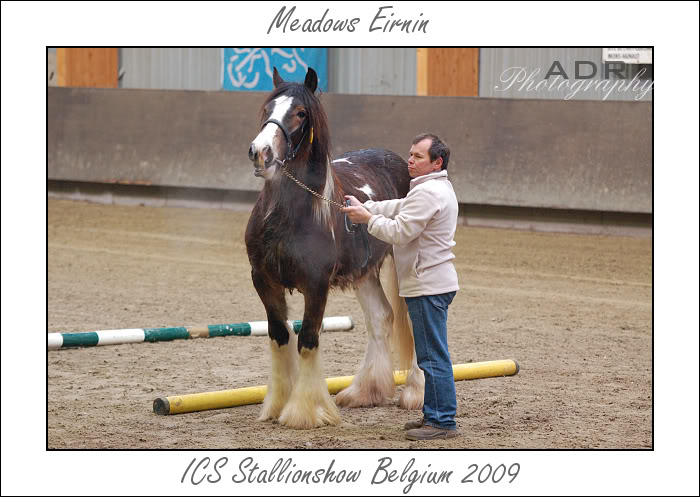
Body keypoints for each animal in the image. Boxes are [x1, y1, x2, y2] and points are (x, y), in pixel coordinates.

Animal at [243, 68, 424, 428]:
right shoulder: (263, 280)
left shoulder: (316, 285)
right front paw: (277, 404)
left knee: (414, 322)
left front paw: (305, 411)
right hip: (364, 274)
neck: (289, 216)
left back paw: (413, 393)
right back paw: (364, 392)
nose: (260, 152)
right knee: (381, 317)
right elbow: (280, 335)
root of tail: (402, 163)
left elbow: (308, 340)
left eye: (300, 113)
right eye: (268, 107)